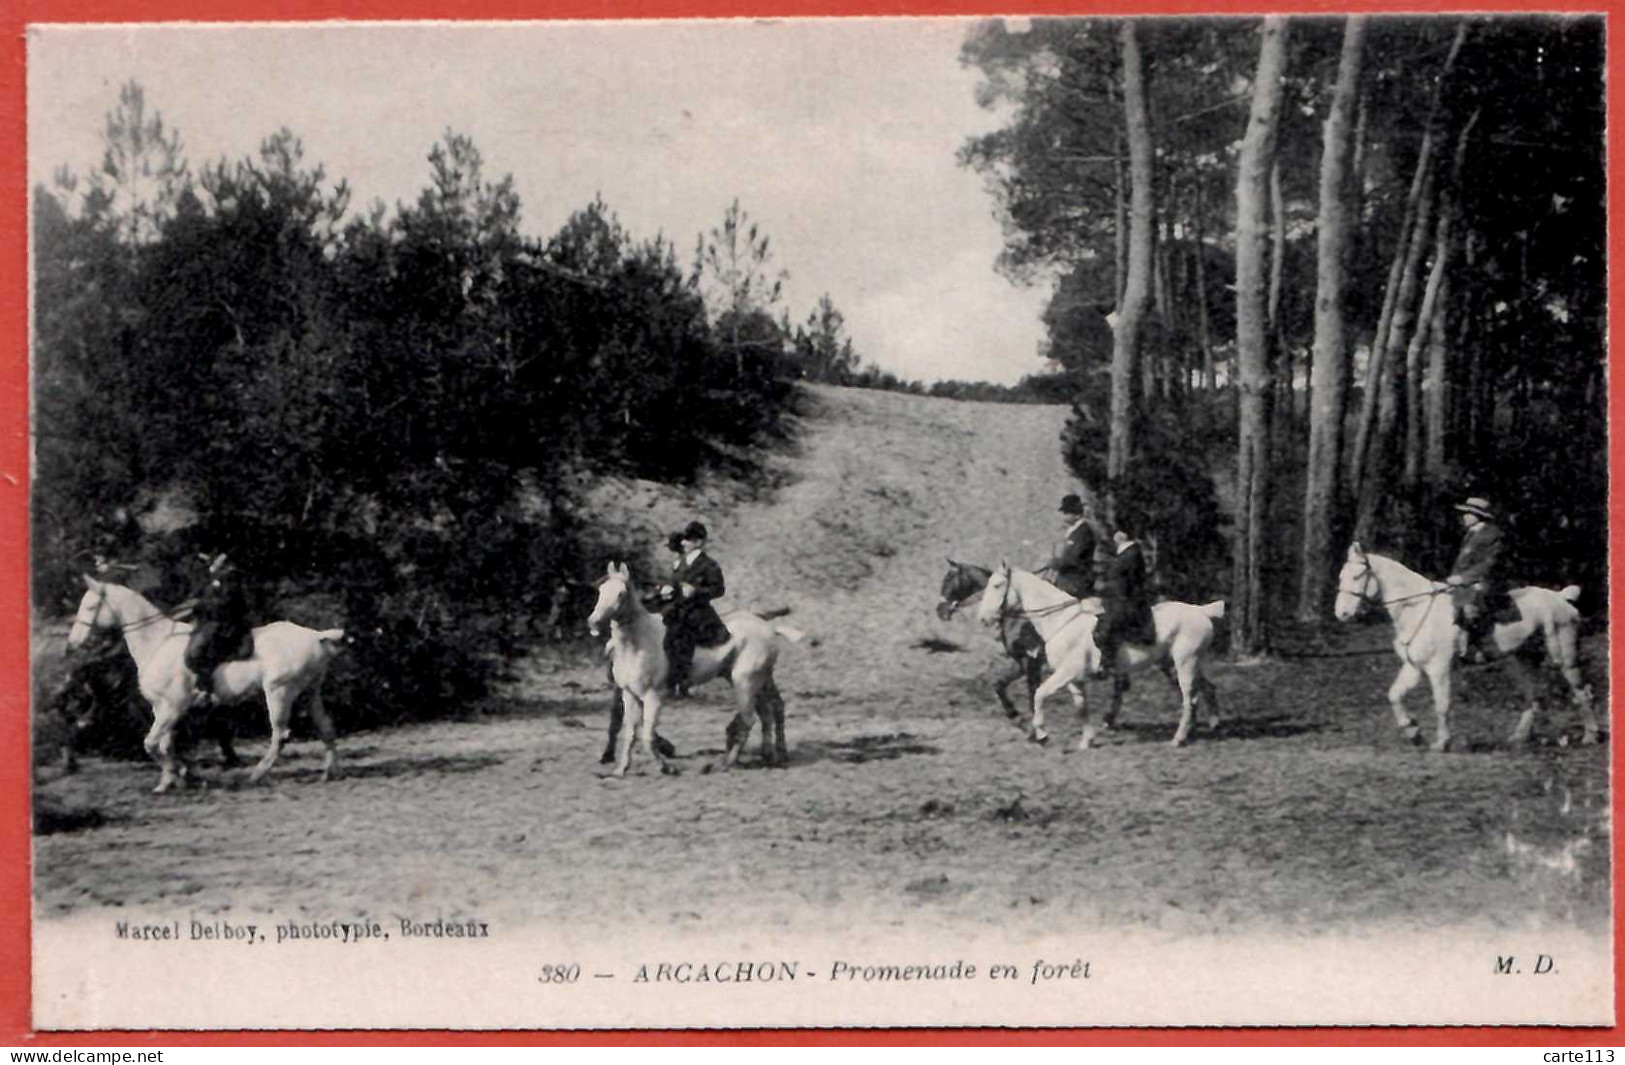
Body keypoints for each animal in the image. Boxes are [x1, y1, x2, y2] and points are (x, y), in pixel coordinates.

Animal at [67, 575, 346, 790]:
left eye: (90, 607)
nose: (73, 642)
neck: (157, 643)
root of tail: (316, 635)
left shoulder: (173, 708)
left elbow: (152, 744)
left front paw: (178, 776)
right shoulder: (162, 709)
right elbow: (165, 745)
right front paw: (172, 780)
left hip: (279, 693)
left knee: (280, 736)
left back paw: (256, 775)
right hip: (309, 693)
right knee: (326, 727)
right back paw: (329, 772)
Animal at [588, 562, 809, 780]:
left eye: (620, 594)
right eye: (600, 591)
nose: (593, 622)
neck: (637, 643)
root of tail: (769, 627)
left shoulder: (653, 697)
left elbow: (648, 736)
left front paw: (667, 768)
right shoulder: (630, 695)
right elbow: (630, 733)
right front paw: (621, 769)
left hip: (744, 682)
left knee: (749, 719)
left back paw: (726, 763)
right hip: (760, 679)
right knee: (772, 709)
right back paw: (773, 755)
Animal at [936, 559, 1046, 725]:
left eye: (949, 577)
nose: (939, 611)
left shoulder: (1028, 662)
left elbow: (1033, 694)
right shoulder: (1021, 662)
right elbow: (999, 684)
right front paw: (1012, 712)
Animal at [968, 565, 1222, 751]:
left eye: (997, 585)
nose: (982, 618)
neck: (1062, 620)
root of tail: (1201, 611)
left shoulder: (1064, 673)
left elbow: (1039, 695)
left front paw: (1042, 734)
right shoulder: (1073, 678)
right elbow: (1081, 707)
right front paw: (1086, 741)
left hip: (1185, 664)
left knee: (1189, 698)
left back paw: (1179, 738)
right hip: (1178, 664)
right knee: (1207, 690)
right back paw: (1211, 727)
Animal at [1332, 546, 1599, 754]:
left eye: (1357, 576)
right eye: (1341, 576)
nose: (1342, 614)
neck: (1417, 609)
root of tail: (1561, 597)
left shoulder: (1439, 670)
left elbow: (1442, 705)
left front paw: (1442, 742)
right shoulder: (1414, 668)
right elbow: (1394, 695)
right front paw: (1412, 731)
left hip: (1565, 659)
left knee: (1581, 692)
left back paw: (1591, 735)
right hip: (1520, 661)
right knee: (1532, 696)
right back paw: (1519, 737)